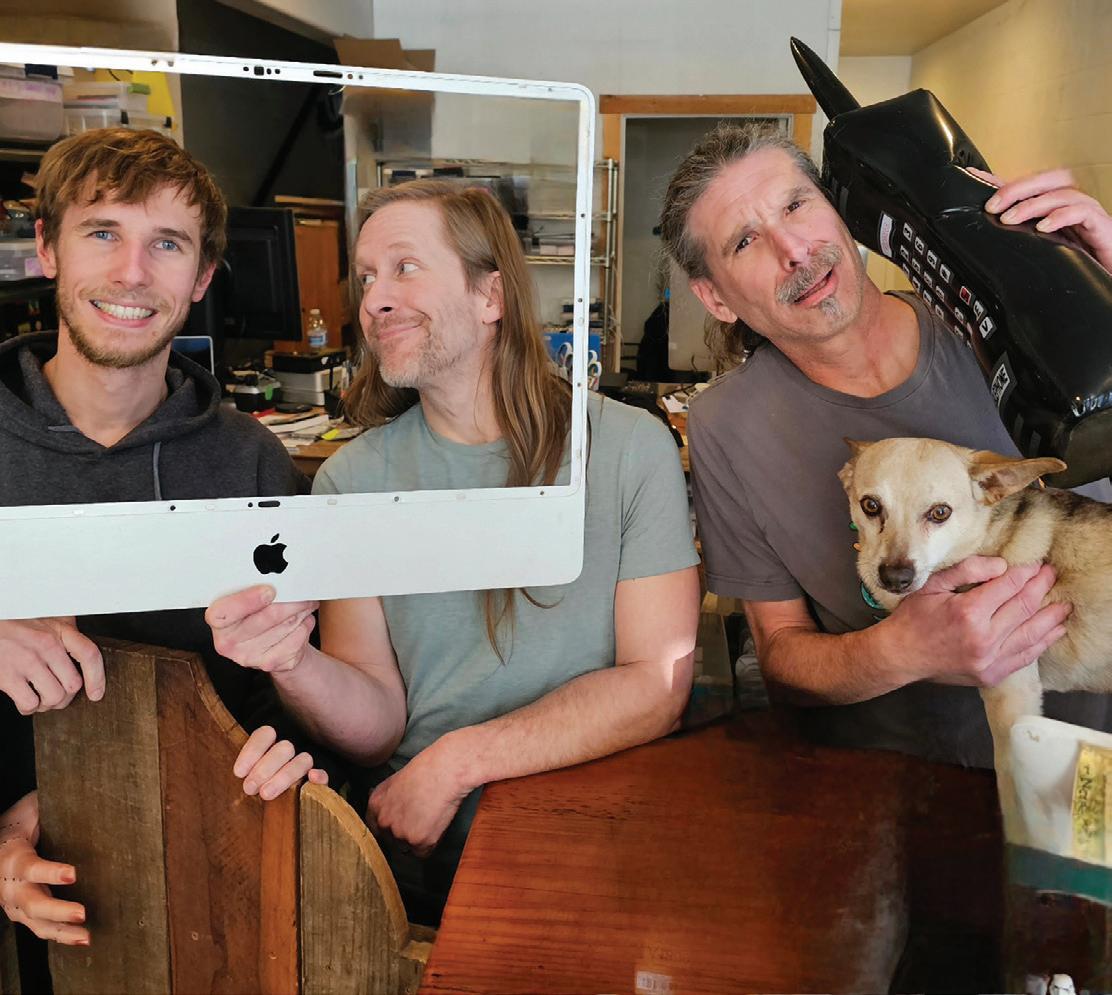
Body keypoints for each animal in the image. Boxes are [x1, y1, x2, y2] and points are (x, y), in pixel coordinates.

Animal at [838, 436, 1112, 841]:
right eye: (870, 505)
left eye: (940, 513)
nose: (895, 577)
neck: (987, 538)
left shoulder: (1012, 698)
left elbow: (1011, 795)